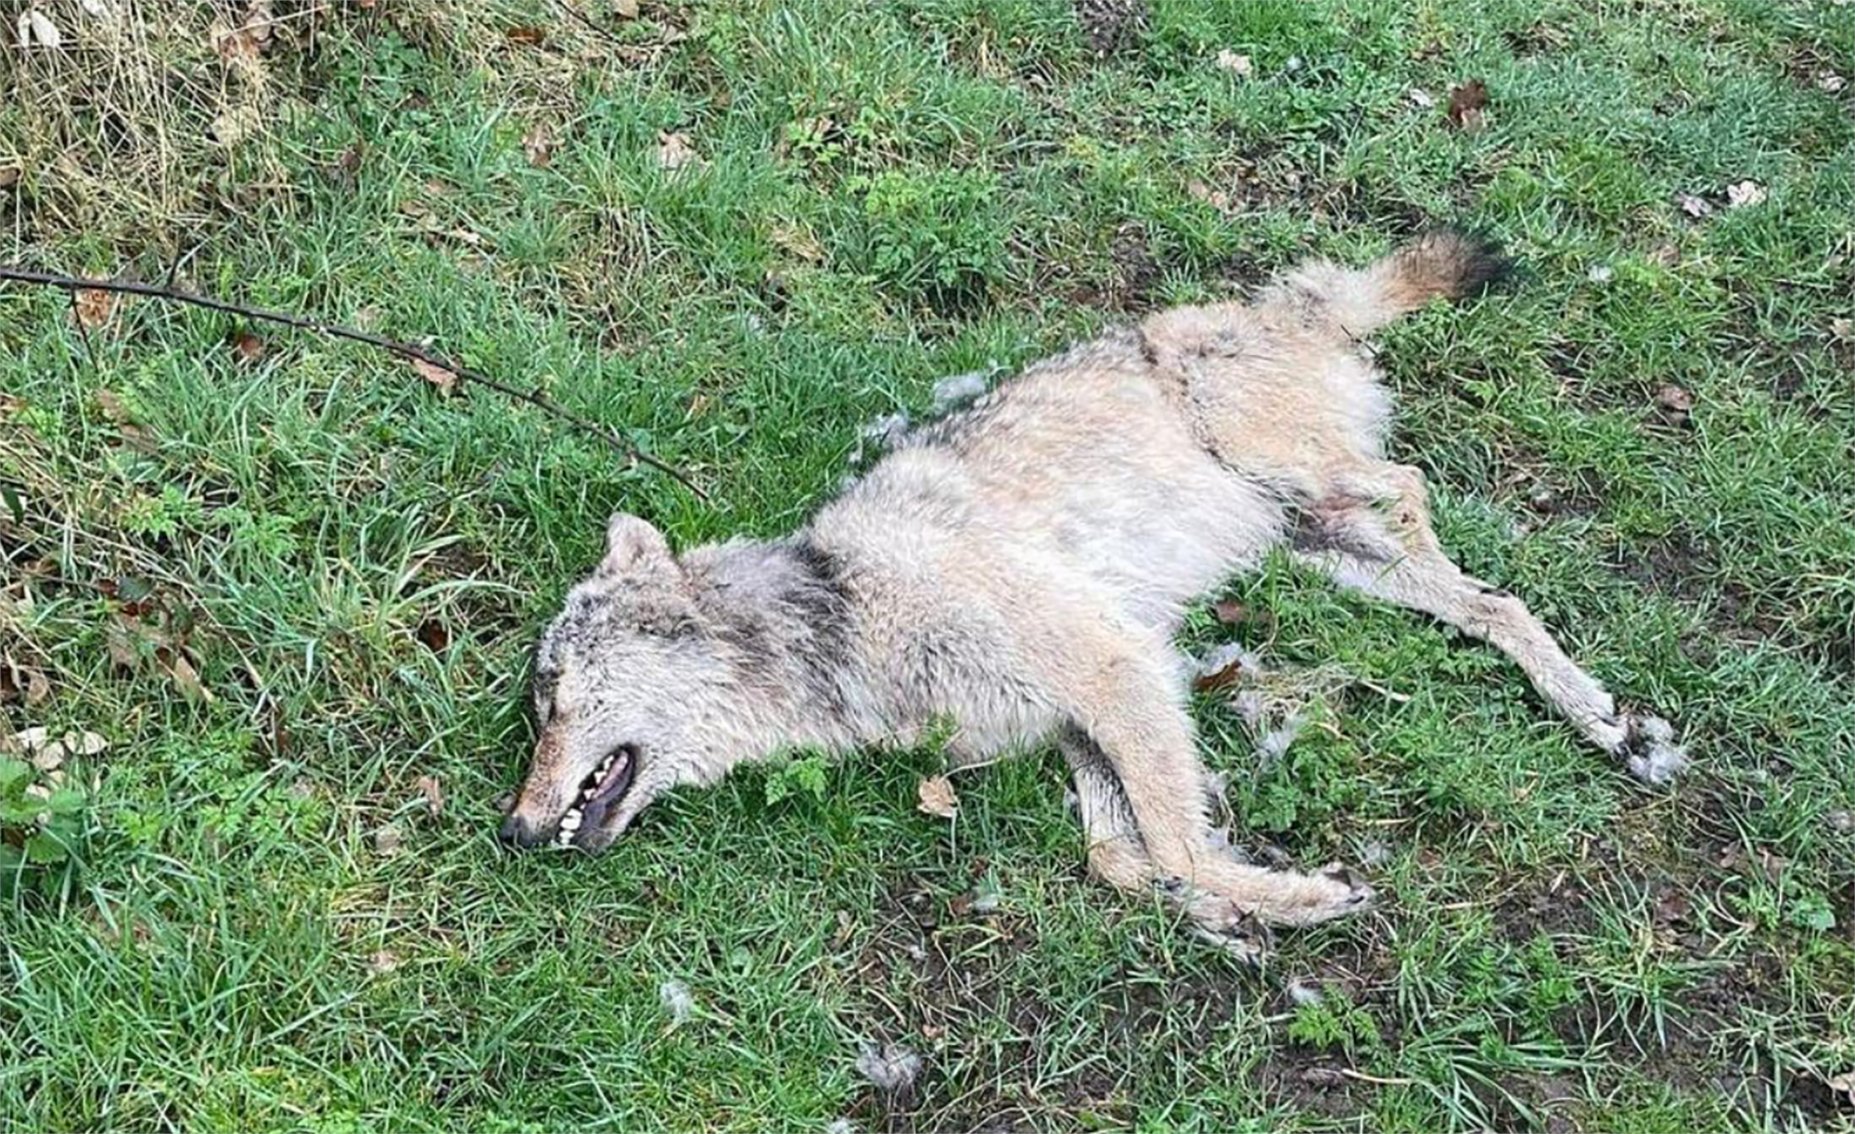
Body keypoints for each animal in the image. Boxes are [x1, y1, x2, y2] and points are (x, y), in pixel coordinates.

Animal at [499, 231, 1687, 953]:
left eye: (554, 699)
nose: (512, 833)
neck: (839, 620)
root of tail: (1287, 306)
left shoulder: (1121, 671)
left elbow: (1168, 839)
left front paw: (1295, 899)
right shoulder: (1076, 725)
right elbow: (1122, 856)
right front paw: (1226, 913)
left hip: (1298, 480)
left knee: (1411, 485)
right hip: (1322, 549)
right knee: (1494, 603)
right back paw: (1608, 722)